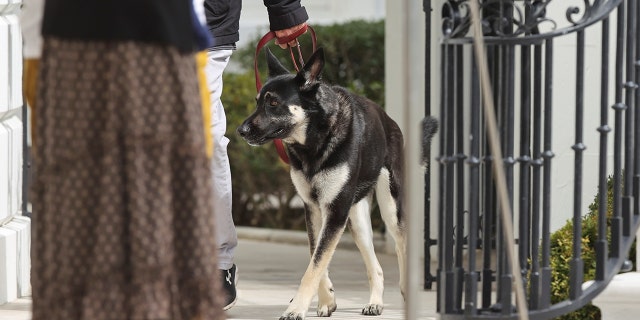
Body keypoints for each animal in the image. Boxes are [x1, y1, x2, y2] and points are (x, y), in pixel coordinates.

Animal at [238, 48, 438, 320]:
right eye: (258, 101)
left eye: (273, 103)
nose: (240, 131)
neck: (314, 141)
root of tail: (390, 122)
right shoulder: (314, 210)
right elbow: (316, 257)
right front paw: (326, 300)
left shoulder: (335, 212)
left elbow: (315, 265)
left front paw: (296, 308)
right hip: (357, 221)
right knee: (375, 266)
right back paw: (375, 302)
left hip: (391, 210)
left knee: (401, 248)